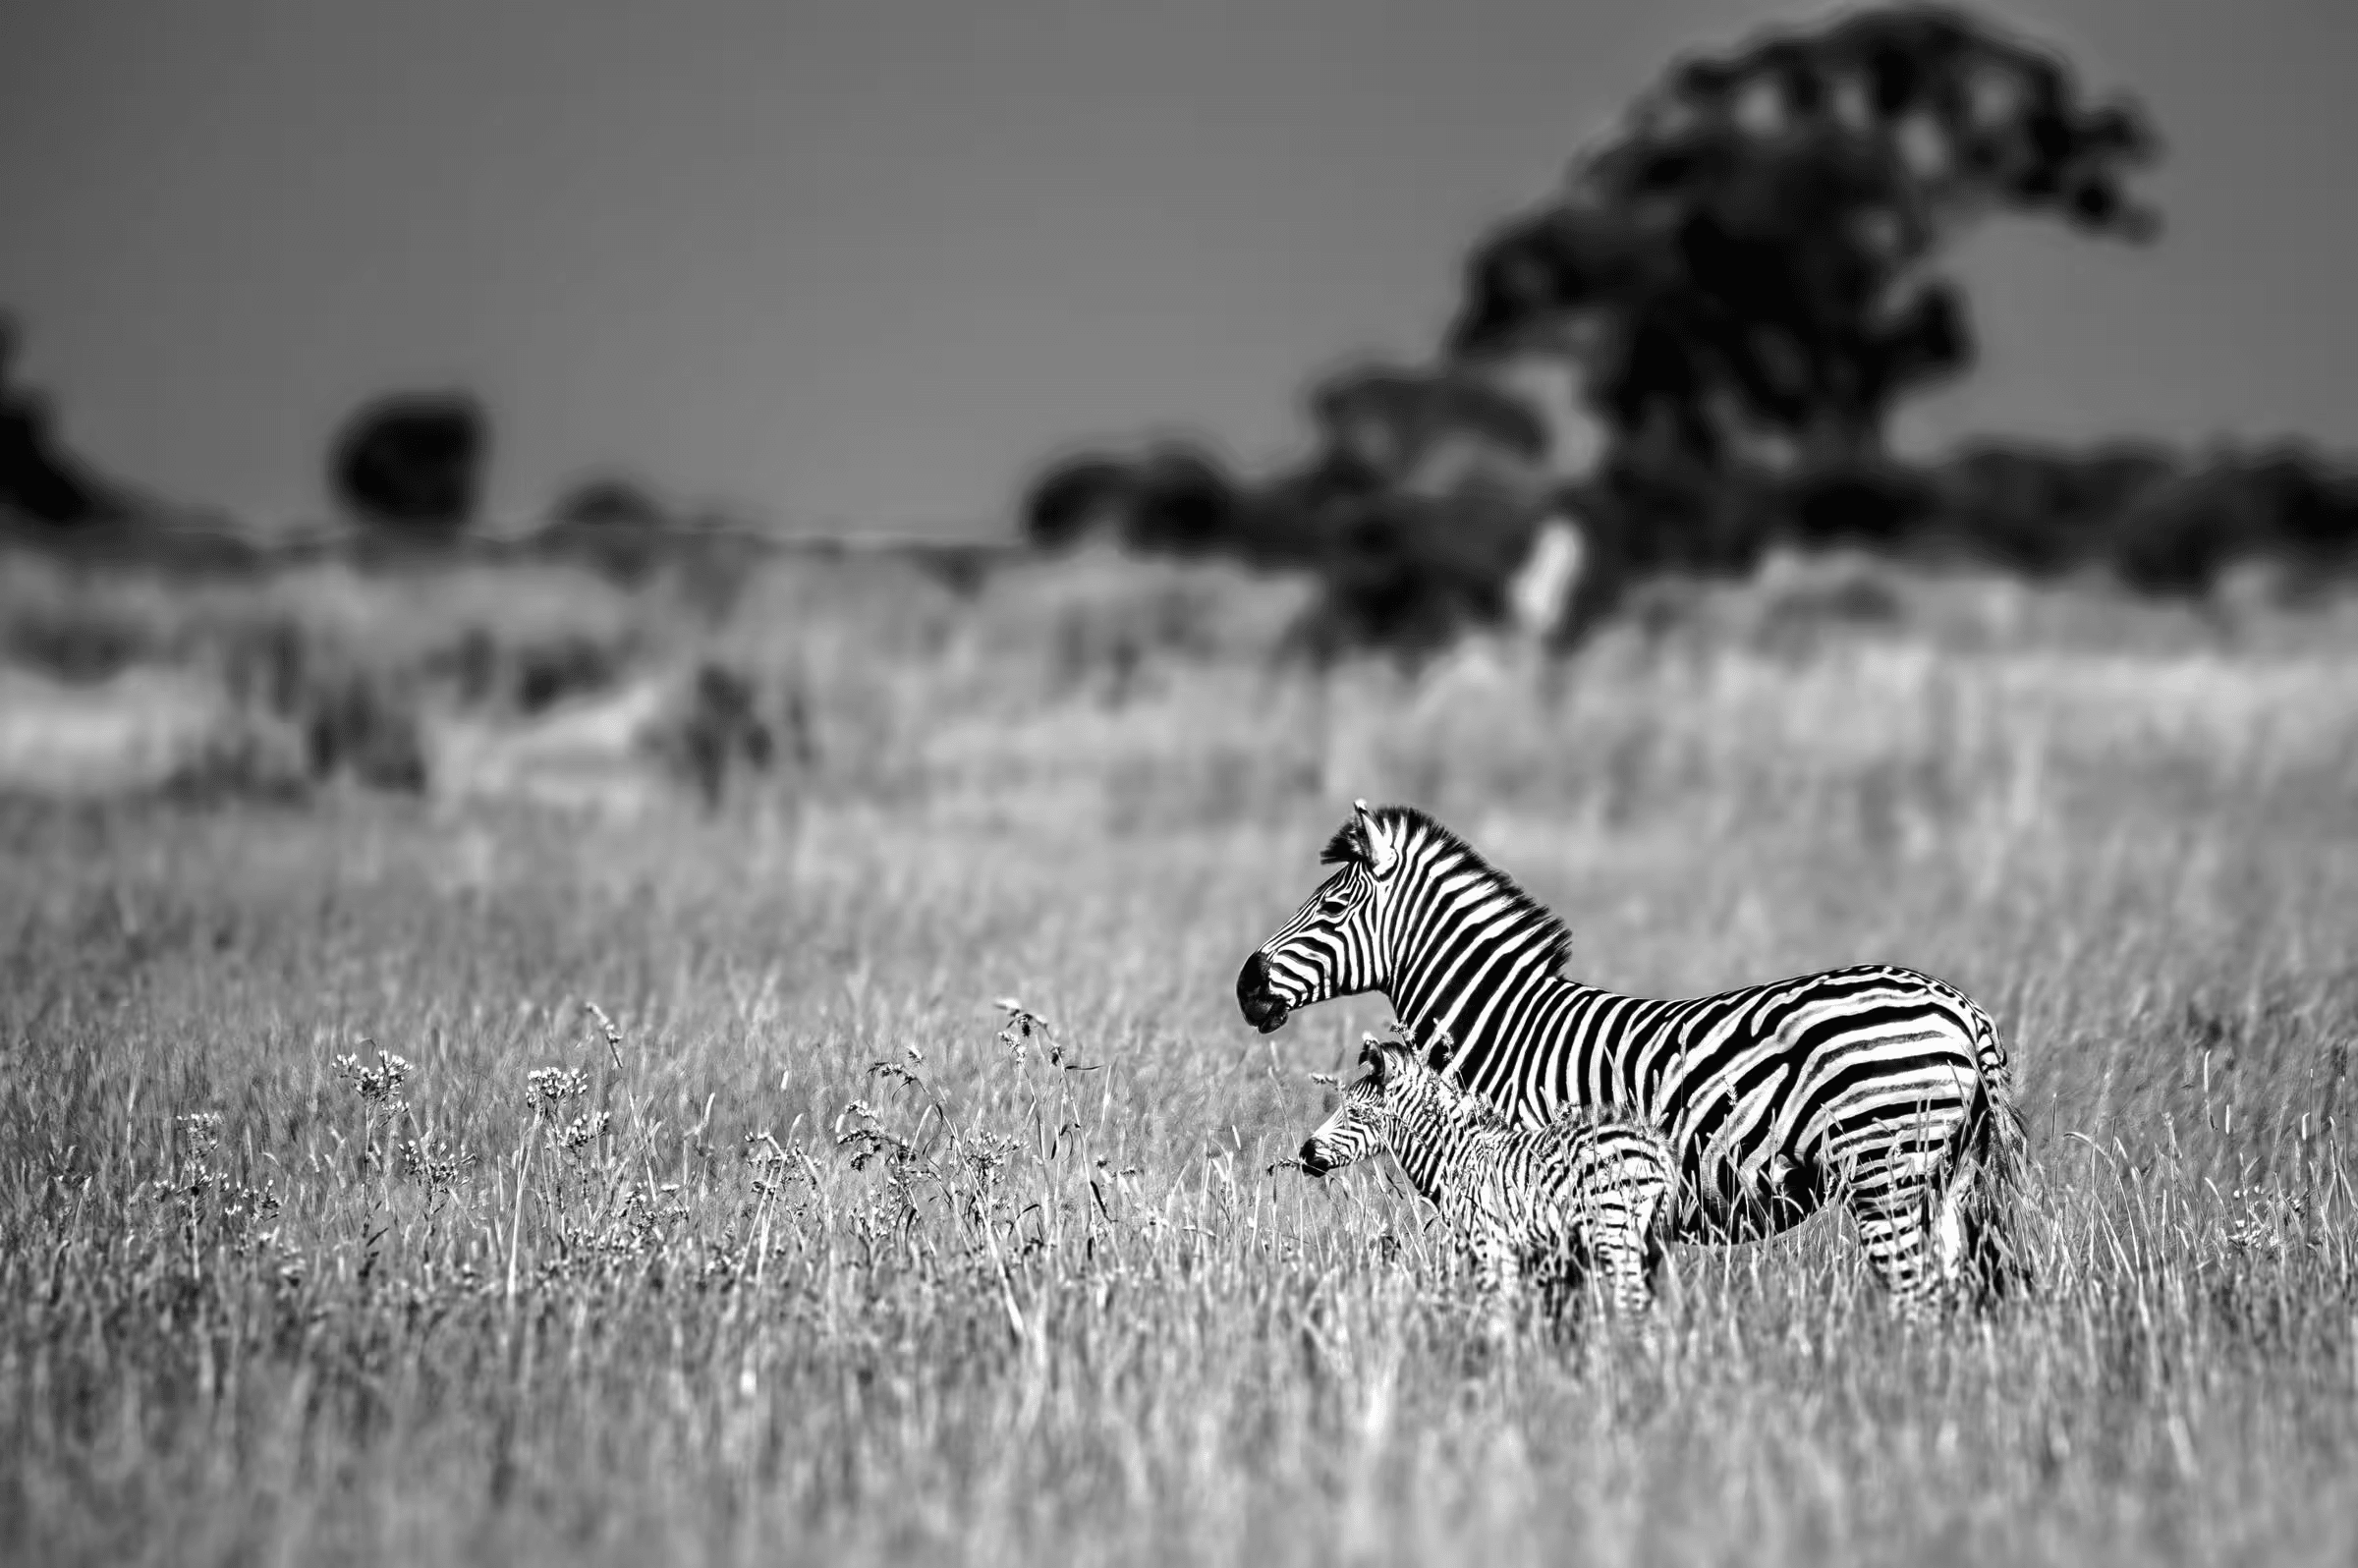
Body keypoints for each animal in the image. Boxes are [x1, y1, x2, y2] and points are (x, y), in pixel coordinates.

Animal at [1292, 1028, 1678, 1320]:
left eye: (1355, 1114)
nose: (1305, 1152)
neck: (1457, 1157)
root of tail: (1655, 1145)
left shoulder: (1489, 1243)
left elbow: (1495, 1314)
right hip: (1648, 1242)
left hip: (1615, 1234)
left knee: (1633, 1306)